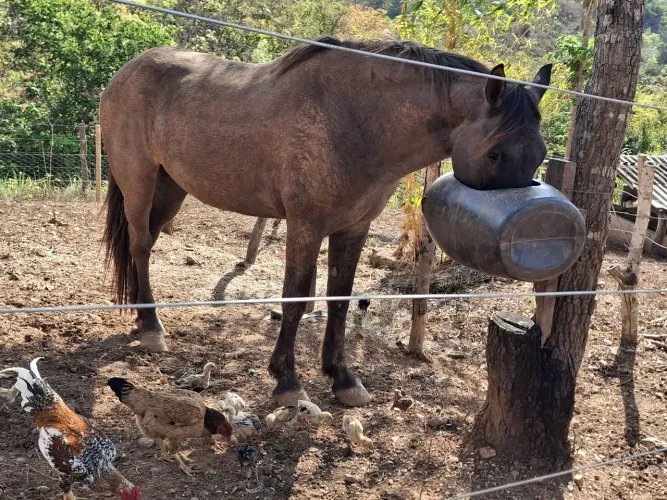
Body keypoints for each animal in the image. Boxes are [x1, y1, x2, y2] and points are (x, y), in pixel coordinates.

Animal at [100, 36, 552, 407]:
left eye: (540, 155)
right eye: (495, 153)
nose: (527, 231)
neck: (354, 119)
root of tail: (126, 72)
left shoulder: (353, 228)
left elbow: (339, 298)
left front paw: (342, 379)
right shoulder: (305, 226)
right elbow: (296, 298)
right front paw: (287, 382)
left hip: (171, 188)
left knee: (146, 244)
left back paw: (142, 316)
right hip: (139, 182)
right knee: (139, 244)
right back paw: (151, 327)